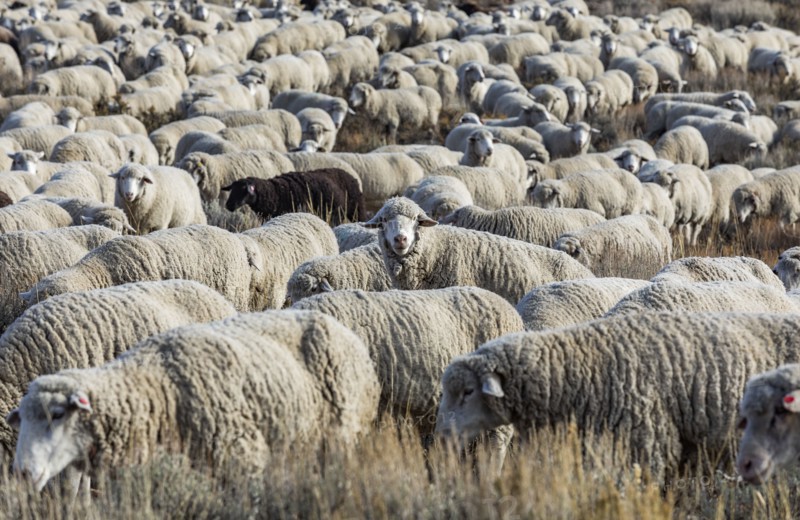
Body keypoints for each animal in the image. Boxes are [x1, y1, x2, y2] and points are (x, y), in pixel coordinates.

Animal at [7, 310, 379, 490]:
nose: (23, 473)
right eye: (21, 420)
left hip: (342, 435)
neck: (159, 387)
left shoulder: (243, 457)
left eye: (58, 414)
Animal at [221, 169, 364, 225]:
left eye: (244, 190)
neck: (274, 192)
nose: (229, 205)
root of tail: (350, 176)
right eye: (232, 189)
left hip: (356, 210)